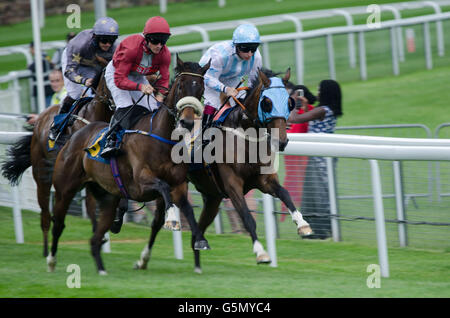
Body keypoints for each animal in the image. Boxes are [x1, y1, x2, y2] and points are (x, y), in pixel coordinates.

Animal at [0, 75, 116, 258]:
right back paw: (46, 249)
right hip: (41, 174)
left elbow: (92, 204)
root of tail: (40, 119)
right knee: (45, 214)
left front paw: (101, 231)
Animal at [46, 56, 212, 274]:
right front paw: (172, 219)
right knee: (58, 223)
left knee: (95, 235)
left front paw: (200, 240)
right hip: (64, 188)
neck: (162, 138)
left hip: (107, 196)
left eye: (201, 88)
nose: (187, 122)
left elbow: (188, 209)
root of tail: (75, 135)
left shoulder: (179, 184)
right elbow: (163, 187)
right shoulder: (141, 183)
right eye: (181, 86)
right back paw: (51, 261)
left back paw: (102, 267)